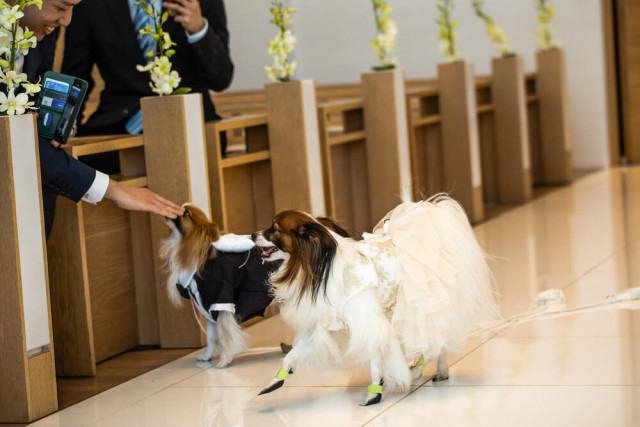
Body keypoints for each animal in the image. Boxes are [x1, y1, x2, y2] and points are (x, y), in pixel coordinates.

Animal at [160, 203, 350, 368]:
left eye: (185, 213)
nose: (169, 210)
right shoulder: (209, 307)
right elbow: (211, 337)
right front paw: (207, 356)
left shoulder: (222, 302)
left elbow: (226, 336)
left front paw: (224, 360)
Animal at [252, 196, 498, 406]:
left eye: (273, 229)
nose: (252, 235)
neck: (314, 266)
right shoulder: (319, 326)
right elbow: (291, 356)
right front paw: (276, 380)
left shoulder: (368, 323)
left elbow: (373, 359)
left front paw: (374, 392)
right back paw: (417, 369)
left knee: (439, 339)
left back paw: (439, 369)